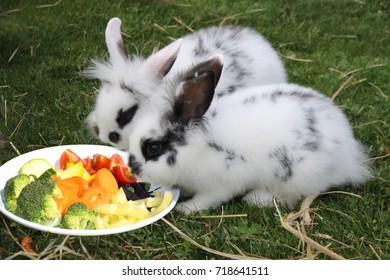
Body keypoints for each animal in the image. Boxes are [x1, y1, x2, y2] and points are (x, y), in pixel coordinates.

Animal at [126, 55, 370, 215]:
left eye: (154, 148)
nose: (132, 168)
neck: (198, 148)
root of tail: (348, 153)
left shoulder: (222, 183)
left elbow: (208, 199)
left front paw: (186, 208)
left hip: (298, 176)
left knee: (292, 196)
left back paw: (256, 198)